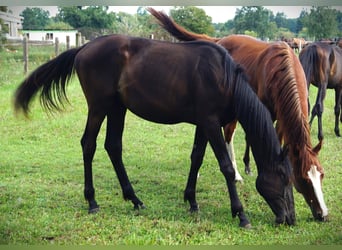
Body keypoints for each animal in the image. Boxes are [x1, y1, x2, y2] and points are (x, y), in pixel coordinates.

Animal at [14, 34, 296, 228]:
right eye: (284, 178)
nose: (289, 219)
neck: (224, 78)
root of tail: (84, 48)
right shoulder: (210, 123)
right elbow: (225, 166)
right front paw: (241, 213)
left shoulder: (203, 124)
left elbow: (196, 158)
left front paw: (192, 201)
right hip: (98, 106)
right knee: (89, 145)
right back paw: (92, 202)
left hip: (117, 108)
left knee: (113, 146)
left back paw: (134, 199)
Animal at [148, 7, 328, 222]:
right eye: (304, 179)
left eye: (322, 175)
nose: (323, 214)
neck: (282, 71)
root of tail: (220, 40)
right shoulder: (265, 112)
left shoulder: (282, 119)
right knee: (227, 136)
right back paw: (234, 172)